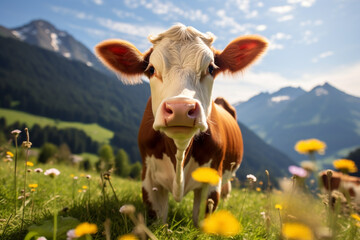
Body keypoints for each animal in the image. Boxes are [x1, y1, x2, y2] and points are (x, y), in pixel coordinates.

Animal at [95, 24, 268, 223]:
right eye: (151, 69)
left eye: (210, 68)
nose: (180, 109)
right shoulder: (149, 180)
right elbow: (158, 219)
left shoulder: (212, 181)